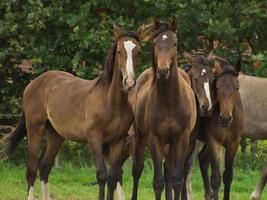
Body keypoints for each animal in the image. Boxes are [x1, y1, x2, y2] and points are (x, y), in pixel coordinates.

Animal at [1, 24, 143, 200]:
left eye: (138, 51)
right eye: (119, 51)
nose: (129, 82)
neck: (111, 103)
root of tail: (32, 84)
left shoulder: (118, 140)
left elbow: (112, 178)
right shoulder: (94, 138)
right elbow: (101, 175)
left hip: (56, 135)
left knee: (45, 166)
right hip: (34, 128)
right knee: (32, 168)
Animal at [131, 16, 197, 200]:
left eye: (174, 43)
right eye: (155, 43)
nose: (162, 71)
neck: (169, 101)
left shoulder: (181, 139)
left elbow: (177, 180)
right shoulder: (154, 139)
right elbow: (158, 182)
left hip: (171, 144)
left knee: (169, 172)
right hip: (141, 137)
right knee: (137, 170)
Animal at [197, 54, 245, 200]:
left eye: (237, 88)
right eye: (217, 87)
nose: (224, 118)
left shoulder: (234, 143)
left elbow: (228, 176)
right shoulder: (214, 142)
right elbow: (216, 178)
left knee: (202, 159)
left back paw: (208, 195)